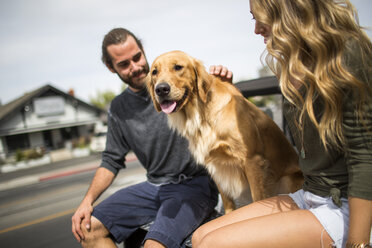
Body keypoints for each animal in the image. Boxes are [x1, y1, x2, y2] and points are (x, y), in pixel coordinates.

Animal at [145, 50, 302, 213]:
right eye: (154, 72)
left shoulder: (253, 160)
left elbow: (259, 198)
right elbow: (227, 201)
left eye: (178, 67)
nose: (161, 89)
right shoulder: (216, 165)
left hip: (287, 180)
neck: (201, 114)